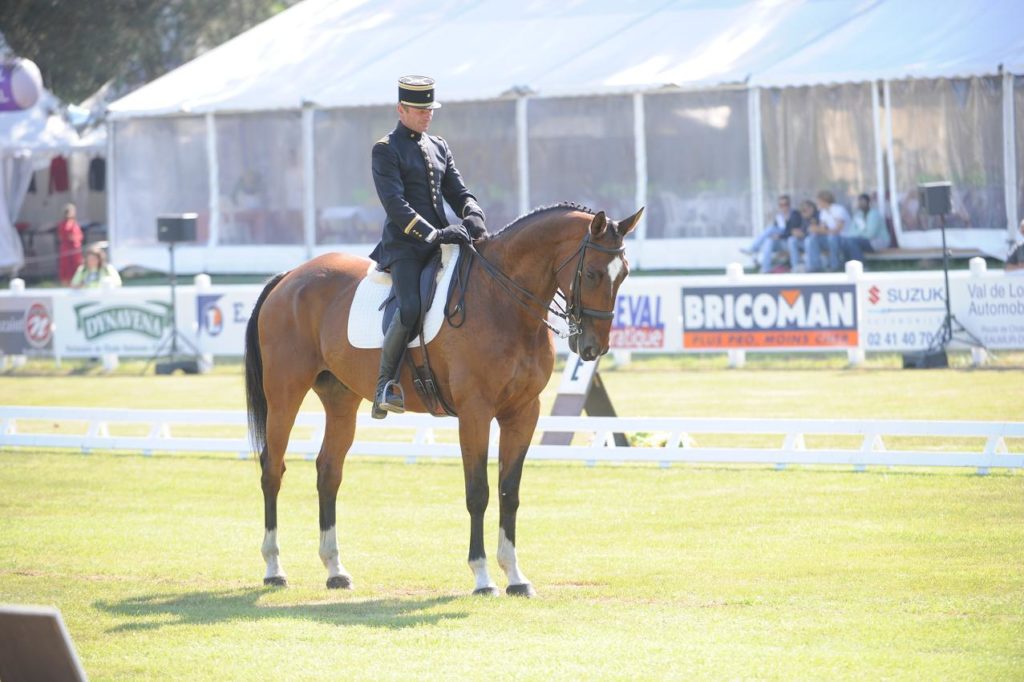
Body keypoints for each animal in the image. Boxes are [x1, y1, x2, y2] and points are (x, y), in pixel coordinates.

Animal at [242, 202, 638, 593]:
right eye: (592, 274)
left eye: (623, 275)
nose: (593, 347)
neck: (501, 302)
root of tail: (290, 277)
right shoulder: (475, 412)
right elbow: (478, 492)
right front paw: (482, 577)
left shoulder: (523, 413)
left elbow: (509, 491)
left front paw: (515, 576)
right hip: (284, 395)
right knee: (272, 470)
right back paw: (274, 568)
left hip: (341, 401)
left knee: (328, 472)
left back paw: (335, 570)